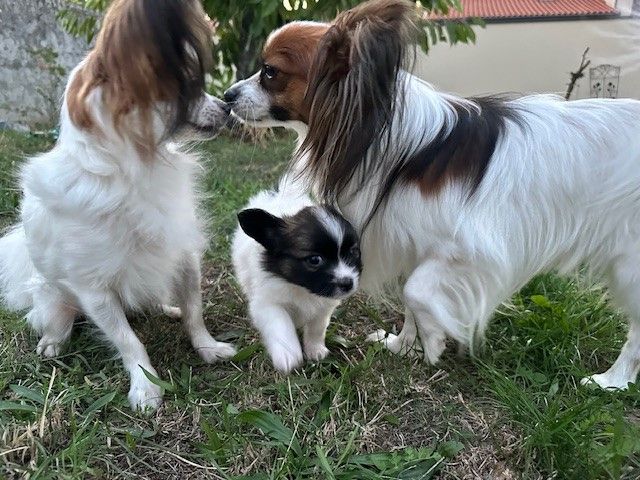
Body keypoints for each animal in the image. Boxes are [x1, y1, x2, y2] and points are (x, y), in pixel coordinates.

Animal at [0, 0, 238, 410]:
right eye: (187, 85)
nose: (226, 105)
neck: (135, 174)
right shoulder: (94, 290)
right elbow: (128, 340)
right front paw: (145, 386)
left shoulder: (184, 255)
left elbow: (195, 311)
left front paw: (206, 347)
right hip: (54, 297)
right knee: (58, 317)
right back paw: (54, 341)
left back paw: (167, 308)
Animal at [231, 178, 362, 374]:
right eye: (315, 260)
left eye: (353, 252)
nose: (347, 283)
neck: (302, 288)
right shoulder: (268, 303)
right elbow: (281, 324)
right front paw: (288, 354)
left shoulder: (323, 306)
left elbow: (317, 328)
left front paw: (315, 350)